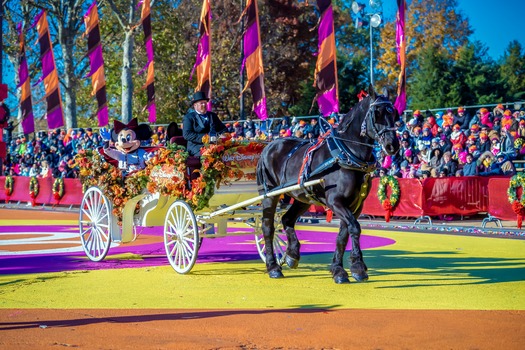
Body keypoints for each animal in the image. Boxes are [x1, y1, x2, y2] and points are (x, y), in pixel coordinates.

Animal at [256, 86, 400, 284]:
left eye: (394, 113)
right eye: (376, 113)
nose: (392, 145)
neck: (347, 154)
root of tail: (269, 146)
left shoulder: (355, 205)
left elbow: (343, 235)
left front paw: (339, 269)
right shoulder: (335, 201)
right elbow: (355, 228)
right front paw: (358, 266)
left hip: (303, 197)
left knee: (287, 219)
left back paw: (292, 254)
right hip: (270, 195)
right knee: (268, 227)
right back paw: (273, 266)